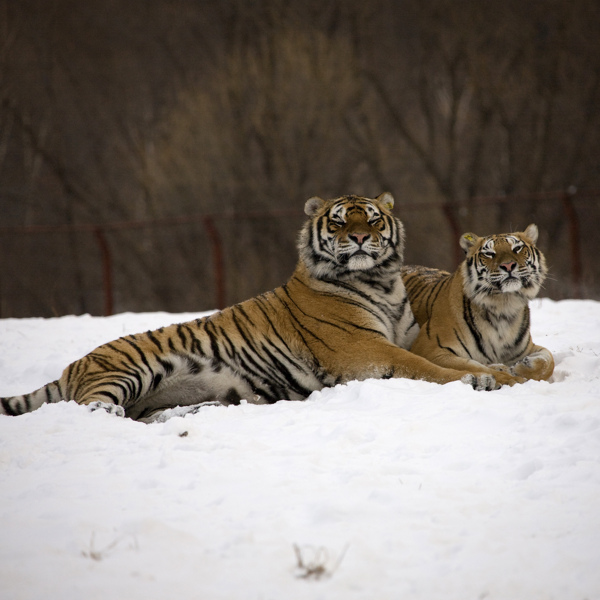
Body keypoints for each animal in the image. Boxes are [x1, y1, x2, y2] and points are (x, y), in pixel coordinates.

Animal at [0, 192, 516, 422]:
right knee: (93, 408)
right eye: (338, 221)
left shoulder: (409, 338)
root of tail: (73, 365)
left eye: (370, 219)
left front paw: (499, 373)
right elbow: (425, 368)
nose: (358, 238)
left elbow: (444, 358)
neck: (382, 282)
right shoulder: (366, 351)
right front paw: (480, 379)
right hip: (130, 370)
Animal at [400, 223, 556, 382]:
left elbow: (548, 361)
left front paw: (521, 367)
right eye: (489, 253)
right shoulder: (429, 349)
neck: (504, 304)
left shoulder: (527, 348)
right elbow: (472, 365)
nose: (508, 265)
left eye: (517, 248)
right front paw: (507, 373)